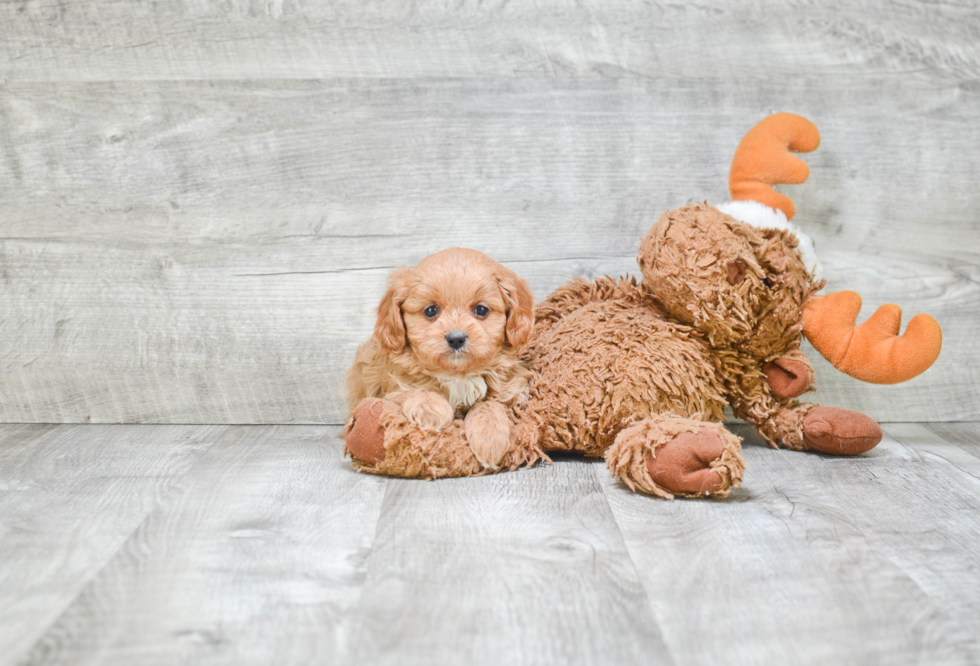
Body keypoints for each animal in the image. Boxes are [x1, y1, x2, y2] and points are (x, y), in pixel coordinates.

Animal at [342, 245, 532, 466]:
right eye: (431, 311)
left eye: (481, 310)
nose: (456, 338)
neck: (458, 374)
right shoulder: (391, 388)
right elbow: (417, 389)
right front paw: (430, 412)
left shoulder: (513, 390)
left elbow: (491, 403)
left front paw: (489, 438)